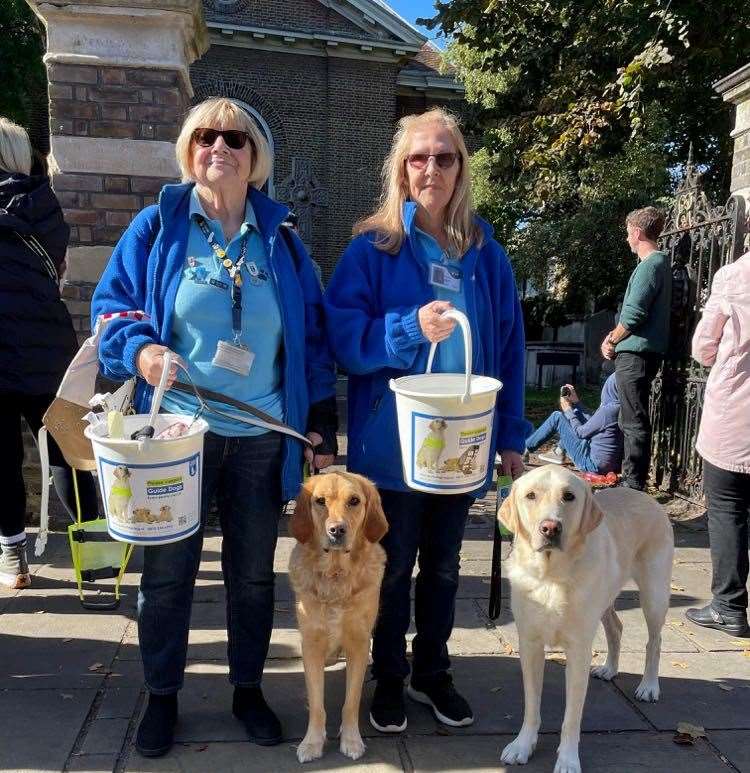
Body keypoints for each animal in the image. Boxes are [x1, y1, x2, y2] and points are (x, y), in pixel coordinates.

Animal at [290, 470, 390, 760]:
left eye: (354, 501)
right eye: (320, 501)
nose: (336, 530)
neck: (335, 574)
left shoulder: (358, 641)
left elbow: (351, 702)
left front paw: (351, 740)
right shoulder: (311, 642)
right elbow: (316, 704)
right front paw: (312, 742)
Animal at [502, 464, 672, 772]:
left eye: (568, 496)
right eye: (531, 495)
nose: (550, 527)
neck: (551, 577)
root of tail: (646, 496)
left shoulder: (578, 650)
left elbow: (571, 718)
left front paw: (568, 760)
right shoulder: (529, 646)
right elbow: (532, 705)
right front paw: (522, 745)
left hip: (654, 594)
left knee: (655, 641)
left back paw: (649, 686)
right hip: (604, 600)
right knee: (616, 628)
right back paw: (609, 668)